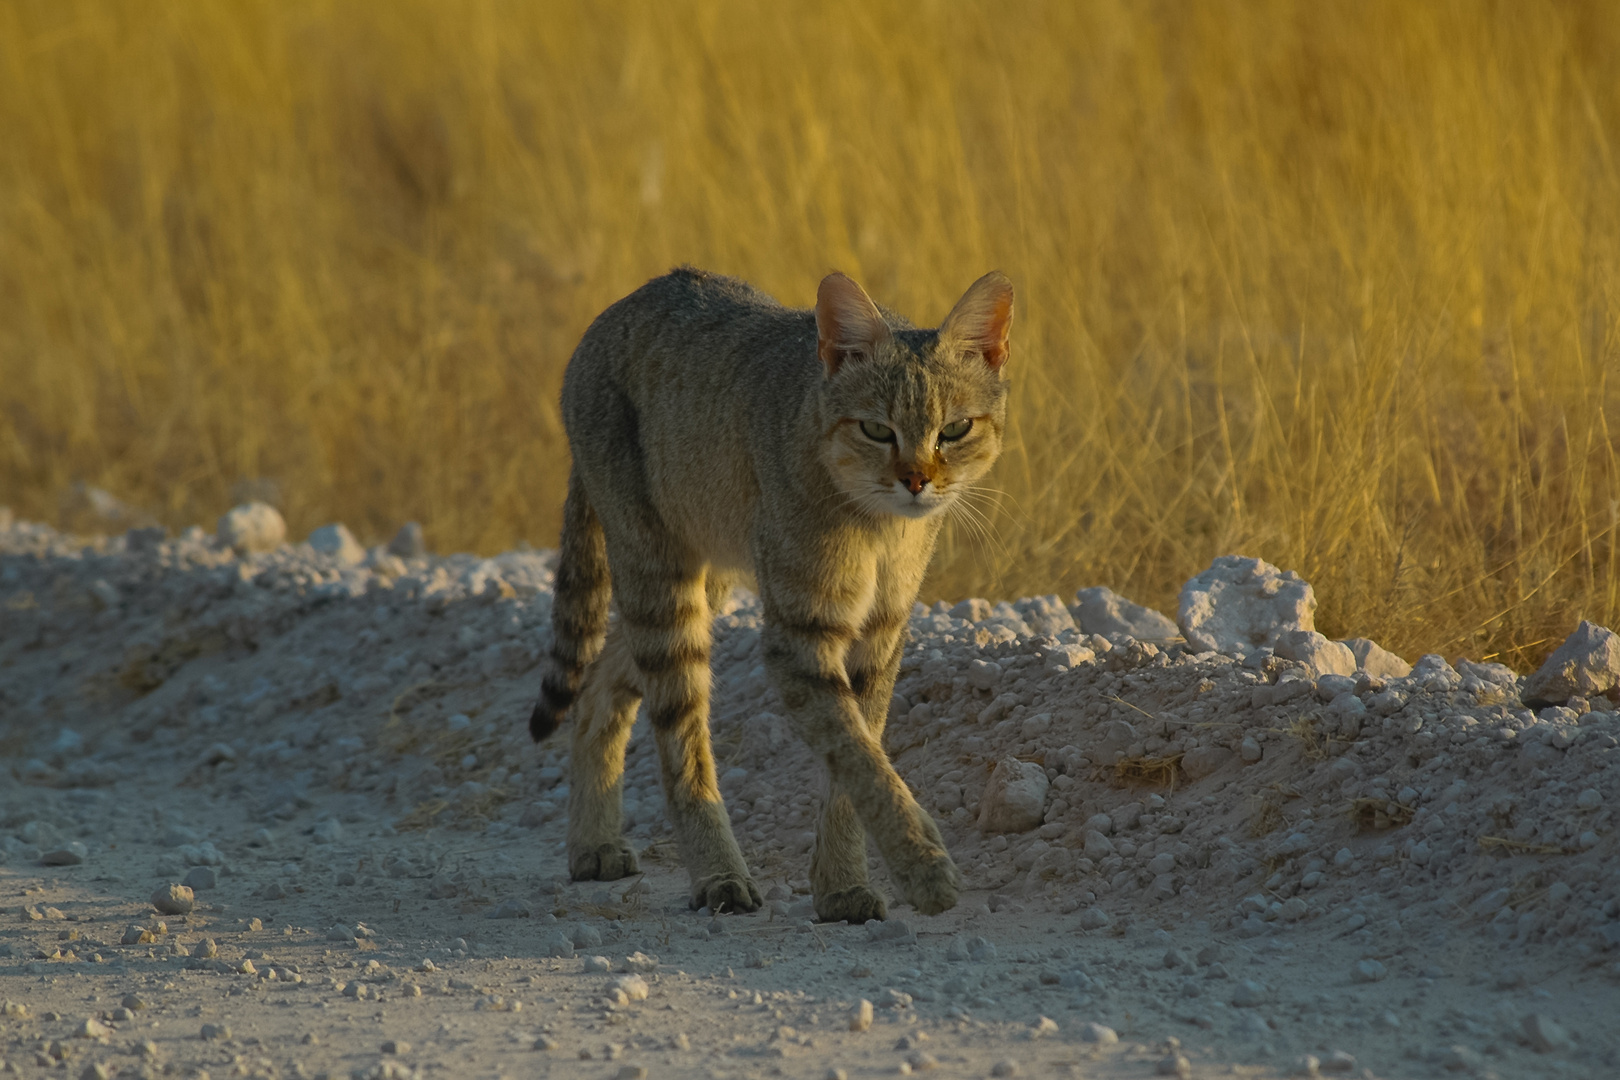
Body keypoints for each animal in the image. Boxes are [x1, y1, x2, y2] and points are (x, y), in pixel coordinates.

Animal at [528, 263, 1010, 919]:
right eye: (876, 429)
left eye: (955, 429)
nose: (916, 481)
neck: (880, 528)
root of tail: (621, 306)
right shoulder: (800, 635)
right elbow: (859, 756)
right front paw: (922, 867)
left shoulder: (880, 632)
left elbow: (855, 755)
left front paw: (842, 885)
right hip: (662, 579)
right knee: (679, 741)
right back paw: (717, 876)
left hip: (709, 577)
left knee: (598, 681)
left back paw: (593, 845)